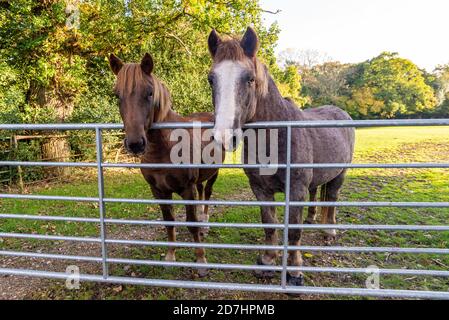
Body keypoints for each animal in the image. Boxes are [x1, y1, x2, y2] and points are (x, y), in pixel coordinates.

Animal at [108, 52, 220, 276]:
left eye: (150, 93)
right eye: (116, 95)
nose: (135, 144)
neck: (164, 147)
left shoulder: (186, 189)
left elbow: (192, 224)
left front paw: (201, 261)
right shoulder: (158, 190)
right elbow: (169, 222)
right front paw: (170, 256)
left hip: (214, 172)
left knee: (208, 193)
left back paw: (205, 223)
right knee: (202, 190)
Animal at [206, 28, 354, 286]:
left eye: (250, 78)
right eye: (211, 79)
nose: (224, 137)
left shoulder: (295, 191)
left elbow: (293, 231)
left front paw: (294, 272)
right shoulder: (260, 189)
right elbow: (270, 224)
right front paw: (267, 261)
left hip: (340, 175)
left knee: (332, 198)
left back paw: (329, 231)